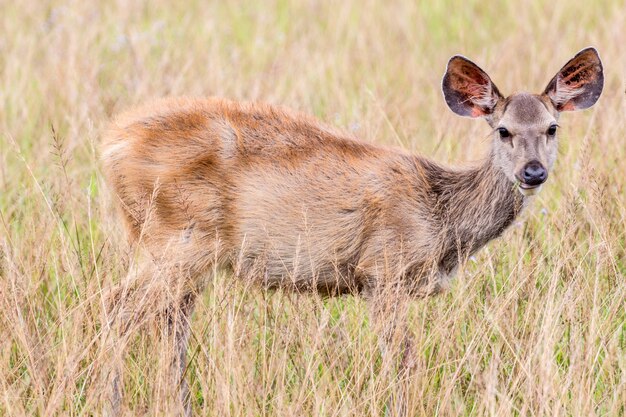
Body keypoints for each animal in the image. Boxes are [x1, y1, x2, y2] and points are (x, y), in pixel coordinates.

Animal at [101, 48, 600, 412]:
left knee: (168, 324)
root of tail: (111, 144)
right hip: (178, 237)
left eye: (552, 128)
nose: (533, 172)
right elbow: (404, 359)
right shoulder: (382, 269)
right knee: (118, 308)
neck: (439, 214)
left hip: (177, 250)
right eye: (503, 131)